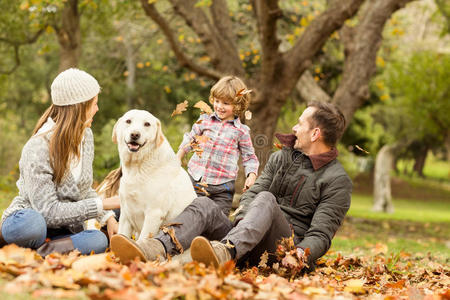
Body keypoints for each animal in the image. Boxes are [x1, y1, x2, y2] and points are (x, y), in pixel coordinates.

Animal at [110, 110, 195, 244]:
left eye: (147, 124)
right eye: (128, 121)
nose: (135, 134)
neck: (137, 167)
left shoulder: (154, 213)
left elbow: (143, 240)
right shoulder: (125, 214)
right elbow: (122, 234)